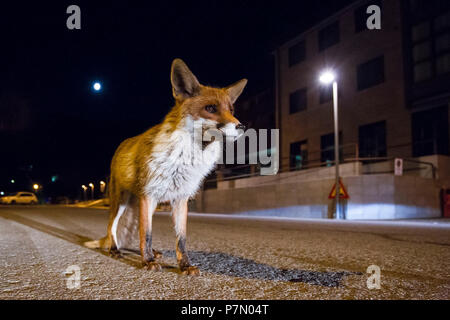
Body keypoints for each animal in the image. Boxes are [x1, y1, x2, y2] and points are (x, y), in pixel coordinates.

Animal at [84, 58, 246, 276]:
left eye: (231, 110)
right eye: (211, 108)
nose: (241, 126)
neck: (183, 158)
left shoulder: (180, 199)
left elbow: (180, 239)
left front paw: (184, 265)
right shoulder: (149, 195)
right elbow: (147, 234)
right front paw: (147, 261)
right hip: (121, 201)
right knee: (112, 228)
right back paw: (115, 250)